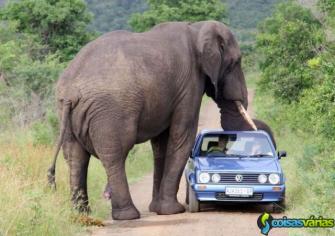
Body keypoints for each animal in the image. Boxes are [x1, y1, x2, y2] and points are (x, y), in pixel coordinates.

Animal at [47, 21, 258, 220]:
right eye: (236, 62)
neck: (197, 28)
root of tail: (70, 92)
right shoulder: (189, 85)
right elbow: (182, 137)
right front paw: (172, 211)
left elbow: (161, 145)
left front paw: (157, 209)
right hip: (109, 112)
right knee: (115, 154)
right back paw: (127, 216)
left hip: (66, 112)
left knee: (76, 158)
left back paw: (82, 214)